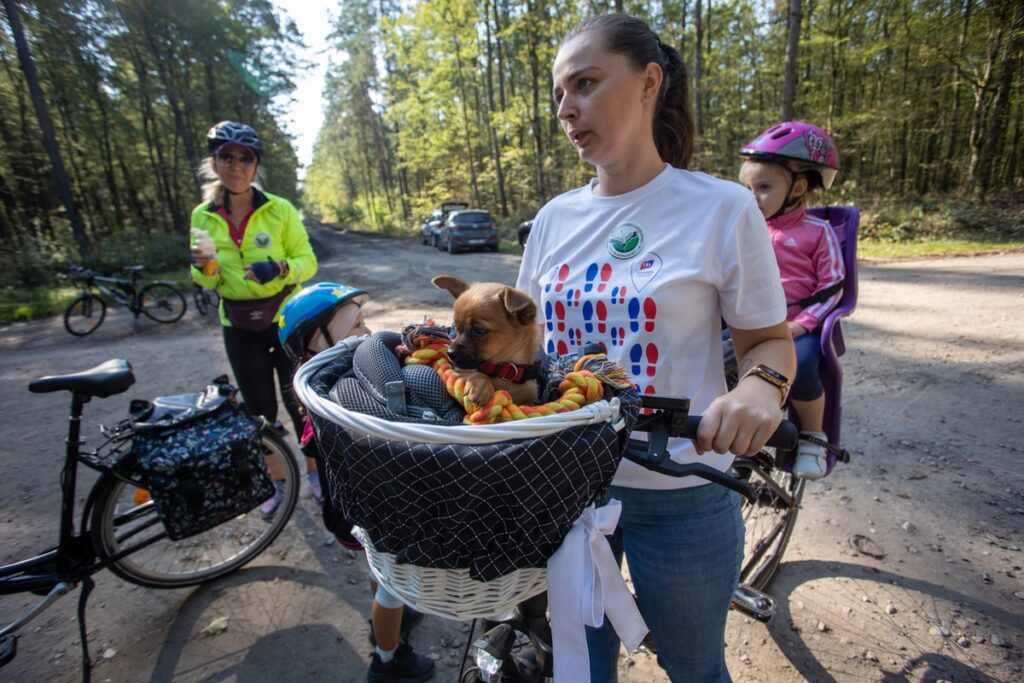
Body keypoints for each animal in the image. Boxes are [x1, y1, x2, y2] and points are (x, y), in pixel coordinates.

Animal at [432, 274, 544, 409]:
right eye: (457, 328)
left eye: (479, 330)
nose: (450, 353)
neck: (507, 370)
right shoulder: (460, 370)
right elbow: (474, 373)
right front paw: (480, 386)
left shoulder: (529, 400)